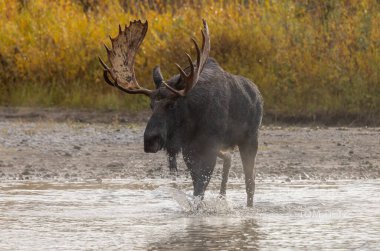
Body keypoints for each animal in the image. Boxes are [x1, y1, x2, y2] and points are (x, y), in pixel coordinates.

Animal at [99, 19, 262, 207]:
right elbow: (197, 187)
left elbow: (200, 187)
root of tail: (258, 94)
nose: (150, 140)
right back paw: (222, 196)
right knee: (229, 159)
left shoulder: (209, 146)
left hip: (250, 139)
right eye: (150, 105)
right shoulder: (188, 149)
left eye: (171, 105)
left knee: (250, 182)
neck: (192, 120)